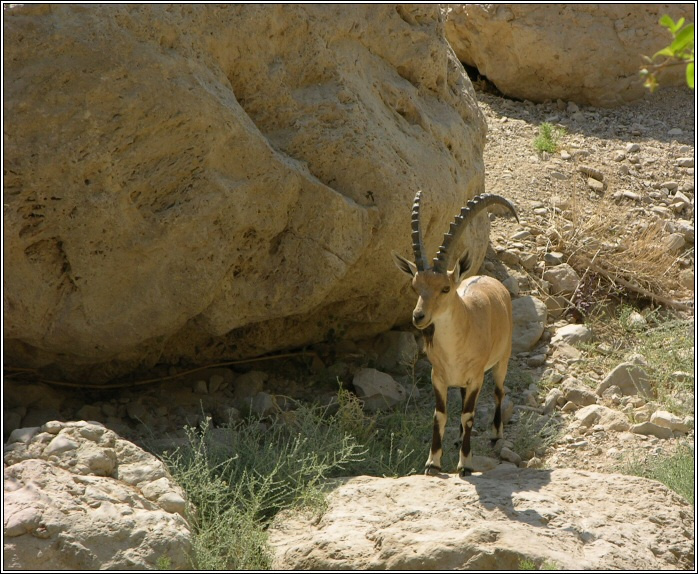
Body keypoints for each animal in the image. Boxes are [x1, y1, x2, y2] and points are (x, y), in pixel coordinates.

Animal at [392, 191, 518, 477]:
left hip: (502, 359)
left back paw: (495, 434)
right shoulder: (438, 377)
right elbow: (440, 415)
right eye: (415, 286)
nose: (418, 317)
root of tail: (489, 279)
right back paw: (460, 437)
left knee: (499, 392)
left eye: (446, 288)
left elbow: (469, 415)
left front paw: (466, 465)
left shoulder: (475, 378)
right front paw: (432, 463)